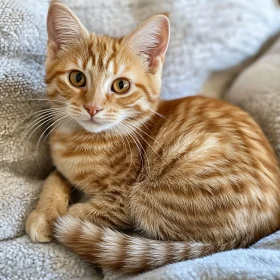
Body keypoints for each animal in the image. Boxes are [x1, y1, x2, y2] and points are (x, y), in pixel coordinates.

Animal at [24, 1, 280, 274]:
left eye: (121, 85)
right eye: (77, 78)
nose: (93, 108)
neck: (81, 140)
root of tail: (246, 240)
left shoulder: (122, 201)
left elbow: (74, 214)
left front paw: (53, 219)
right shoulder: (63, 166)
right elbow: (54, 177)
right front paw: (44, 213)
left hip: (149, 194)